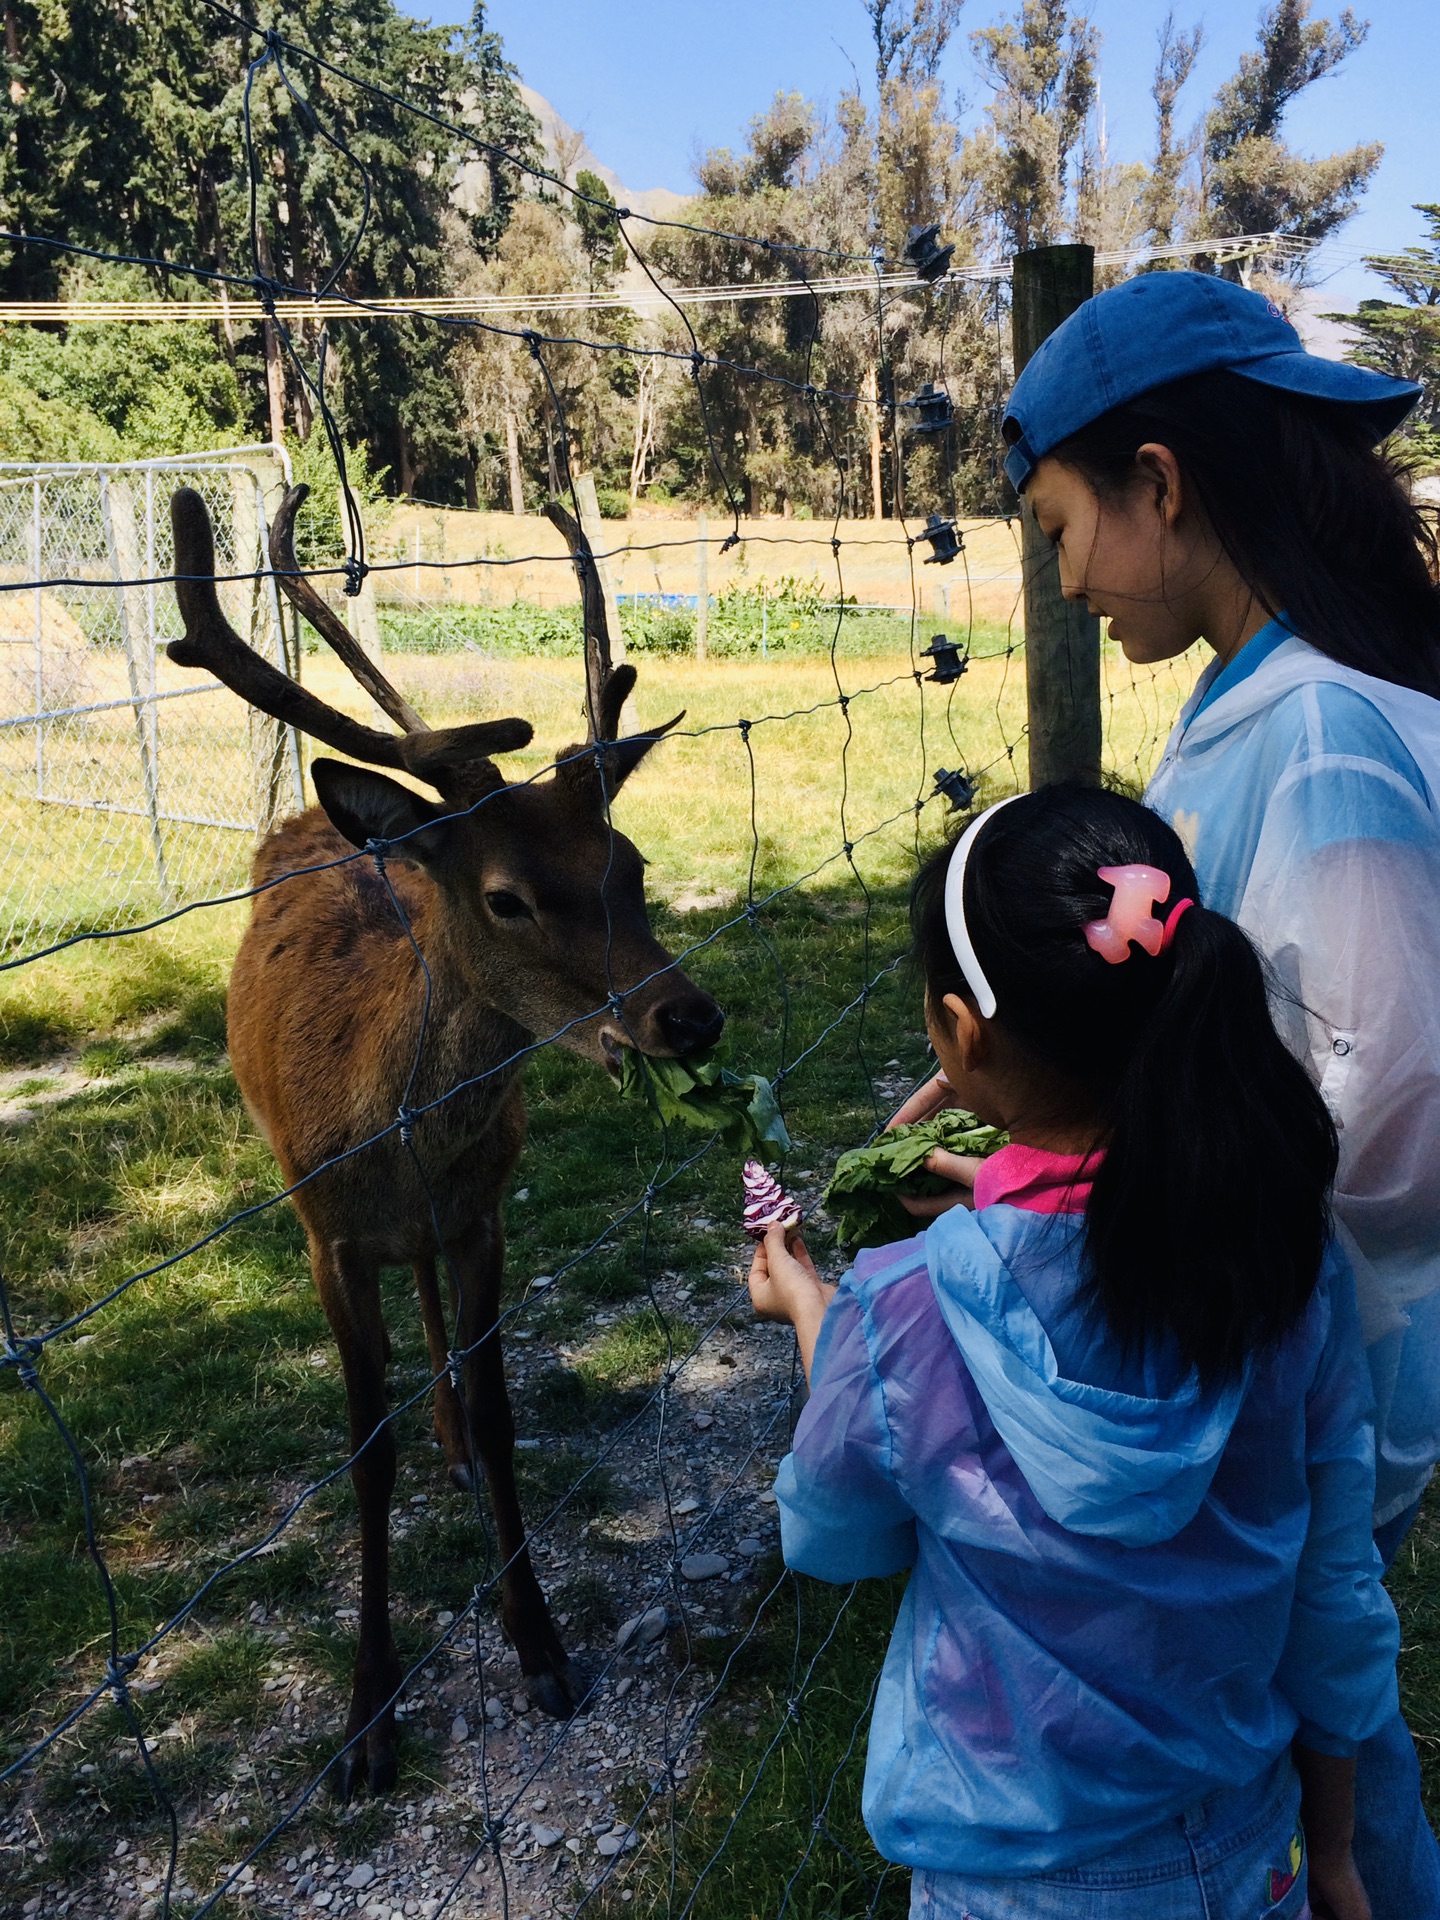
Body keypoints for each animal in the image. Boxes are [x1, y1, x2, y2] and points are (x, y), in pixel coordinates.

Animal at [168, 480, 725, 1797]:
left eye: (631, 864)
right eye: (506, 897)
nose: (687, 1018)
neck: (388, 1134)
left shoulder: (483, 1213)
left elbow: (504, 1411)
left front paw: (542, 1646)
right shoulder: (323, 1231)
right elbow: (362, 1451)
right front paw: (367, 1715)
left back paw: (453, 1439)